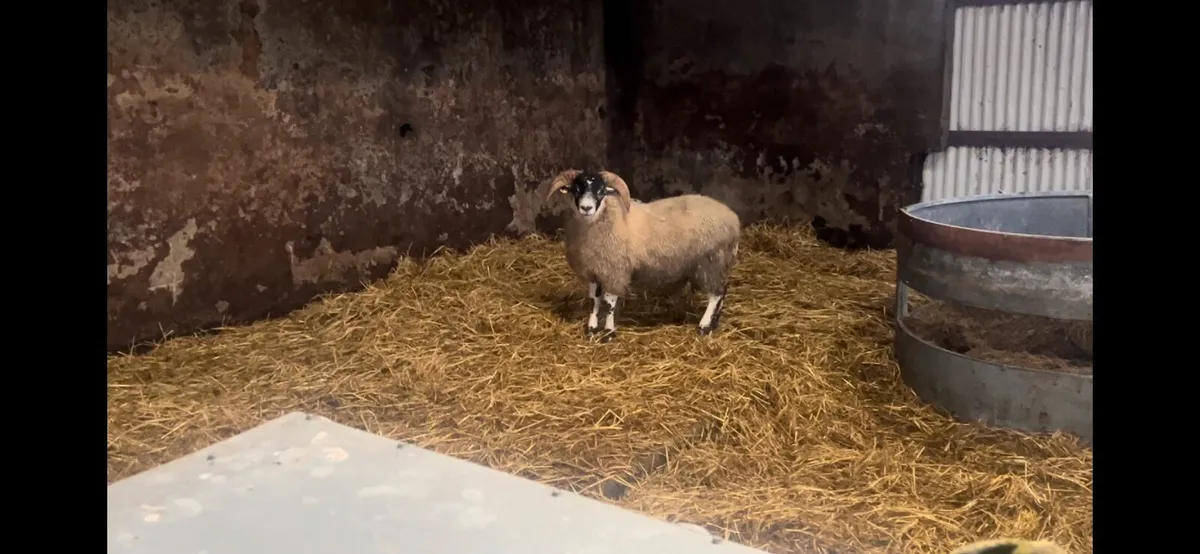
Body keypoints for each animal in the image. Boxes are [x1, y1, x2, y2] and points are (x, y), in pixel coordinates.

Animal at [546, 169, 741, 342]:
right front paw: (592, 329)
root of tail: (733, 218)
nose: (586, 208)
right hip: (717, 262)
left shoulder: (615, 271)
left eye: (601, 191)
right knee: (723, 290)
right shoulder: (595, 270)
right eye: (576, 189)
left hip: (711, 260)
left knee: (716, 294)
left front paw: (609, 333)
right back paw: (714, 324)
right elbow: (594, 300)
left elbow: (609, 303)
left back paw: (704, 326)